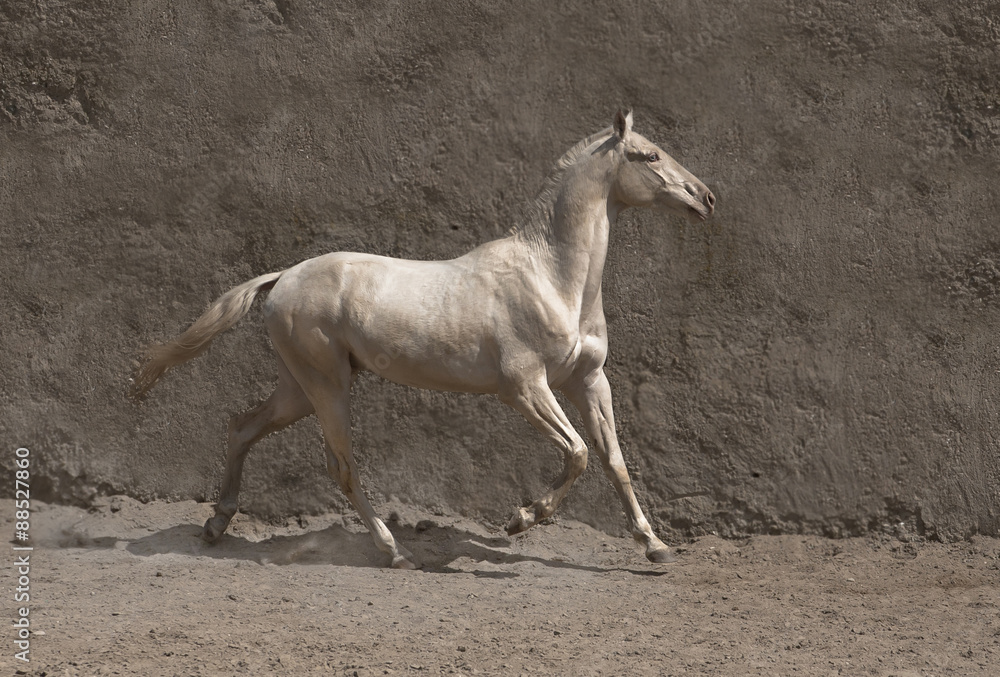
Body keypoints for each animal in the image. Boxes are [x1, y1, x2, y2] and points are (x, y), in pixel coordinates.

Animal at [133, 110, 715, 569]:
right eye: (650, 154)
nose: (706, 198)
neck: (553, 279)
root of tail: (282, 279)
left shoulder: (589, 381)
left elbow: (614, 460)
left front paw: (655, 547)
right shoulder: (525, 387)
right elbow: (577, 453)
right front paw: (522, 518)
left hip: (300, 388)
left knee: (242, 427)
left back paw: (216, 526)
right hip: (327, 387)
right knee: (342, 467)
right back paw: (394, 553)